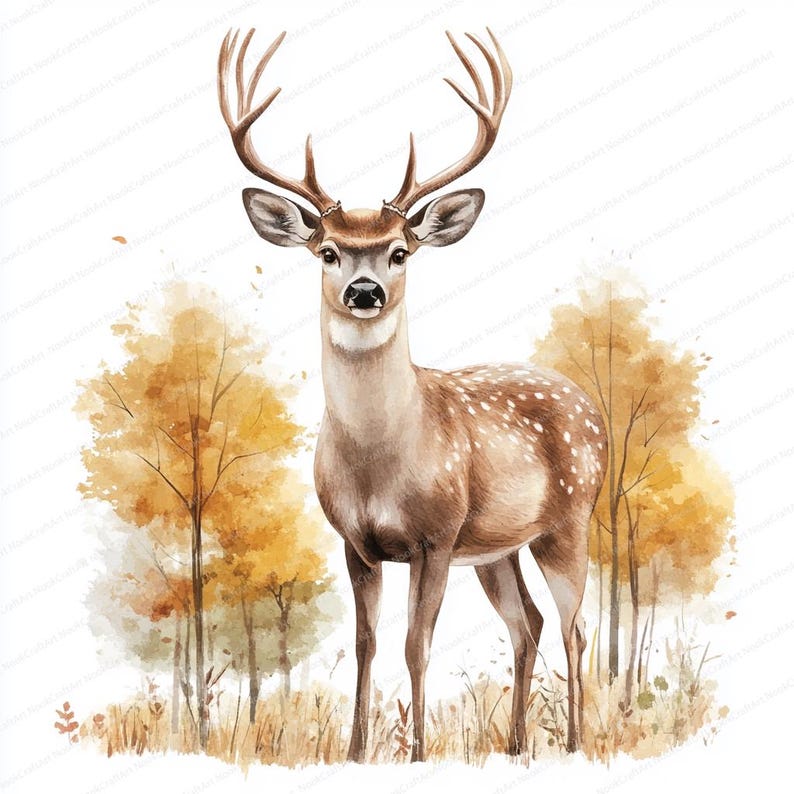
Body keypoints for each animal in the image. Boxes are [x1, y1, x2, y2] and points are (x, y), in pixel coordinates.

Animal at [218, 27, 607, 762]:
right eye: (327, 251)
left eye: (399, 251)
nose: (365, 290)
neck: (380, 461)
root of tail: (589, 405)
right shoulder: (356, 541)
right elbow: (368, 644)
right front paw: (354, 752)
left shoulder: (435, 534)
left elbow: (415, 644)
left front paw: (420, 752)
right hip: (497, 546)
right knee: (529, 624)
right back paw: (515, 747)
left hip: (568, 519)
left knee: (574, 626)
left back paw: (574, 745)